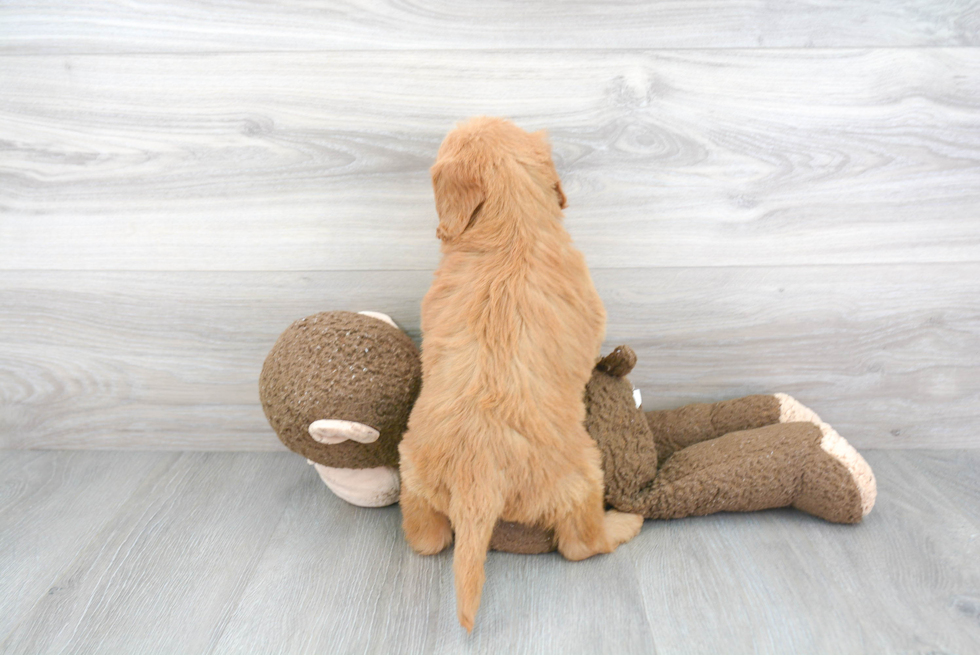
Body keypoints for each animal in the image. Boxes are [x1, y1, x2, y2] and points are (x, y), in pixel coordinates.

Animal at [398, 118, 644, 632]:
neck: (511, 225)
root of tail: (478, 478)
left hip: (413, 476)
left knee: (427, 540)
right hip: (584, 475)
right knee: (581, 545)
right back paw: (624, 523)